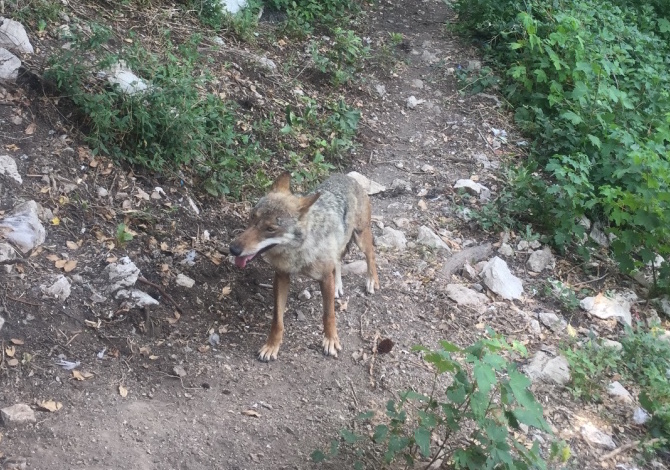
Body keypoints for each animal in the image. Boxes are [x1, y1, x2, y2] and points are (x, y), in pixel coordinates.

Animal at [229, 172, 380, 361]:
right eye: (252, 217)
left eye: (270, 229)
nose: (233, 249)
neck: (299, 251)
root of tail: (346, 176)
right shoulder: (281, 276)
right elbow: (277, 320)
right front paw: (272, 346)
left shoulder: (324, 279)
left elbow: (328, 315)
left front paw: (331, 341)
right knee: (337, 261)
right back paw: (338, 286)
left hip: (361, 238)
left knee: (371, 255)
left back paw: (372, 281)